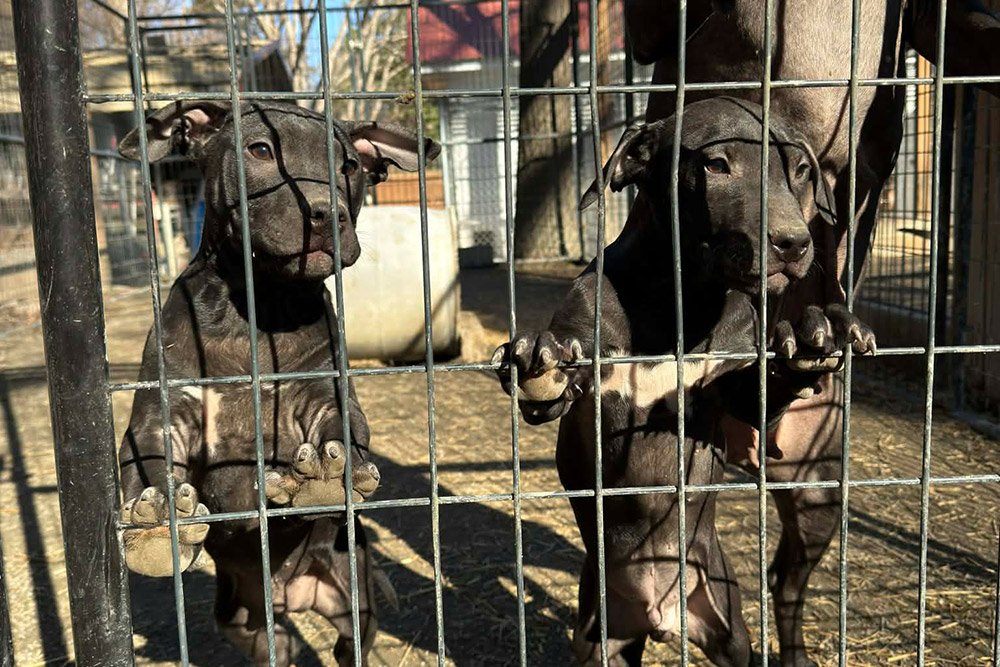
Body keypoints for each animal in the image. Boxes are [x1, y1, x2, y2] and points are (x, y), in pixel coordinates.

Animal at [115, 99, 439, 666]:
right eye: (261, 150)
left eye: (349, 165)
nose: (326, 213)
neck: (258, 304)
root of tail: (291, 592)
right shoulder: (161, 414)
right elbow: (147, 463)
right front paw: (156, 527)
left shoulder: (322, 391)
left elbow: (342, 428)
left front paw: (330, 474)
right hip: (240, 617)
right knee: (274, 643)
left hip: (352, 594)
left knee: (352, 641)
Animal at [494, 98, 872, 666]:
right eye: (716, 165)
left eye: (803, 171)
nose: (793, 243)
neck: (680, 299)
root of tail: (660, 615)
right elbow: (554, 384)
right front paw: (542, 353)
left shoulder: (733, 381)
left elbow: (760, 391)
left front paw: (812, 340)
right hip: (598, 639)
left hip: (733, 621)